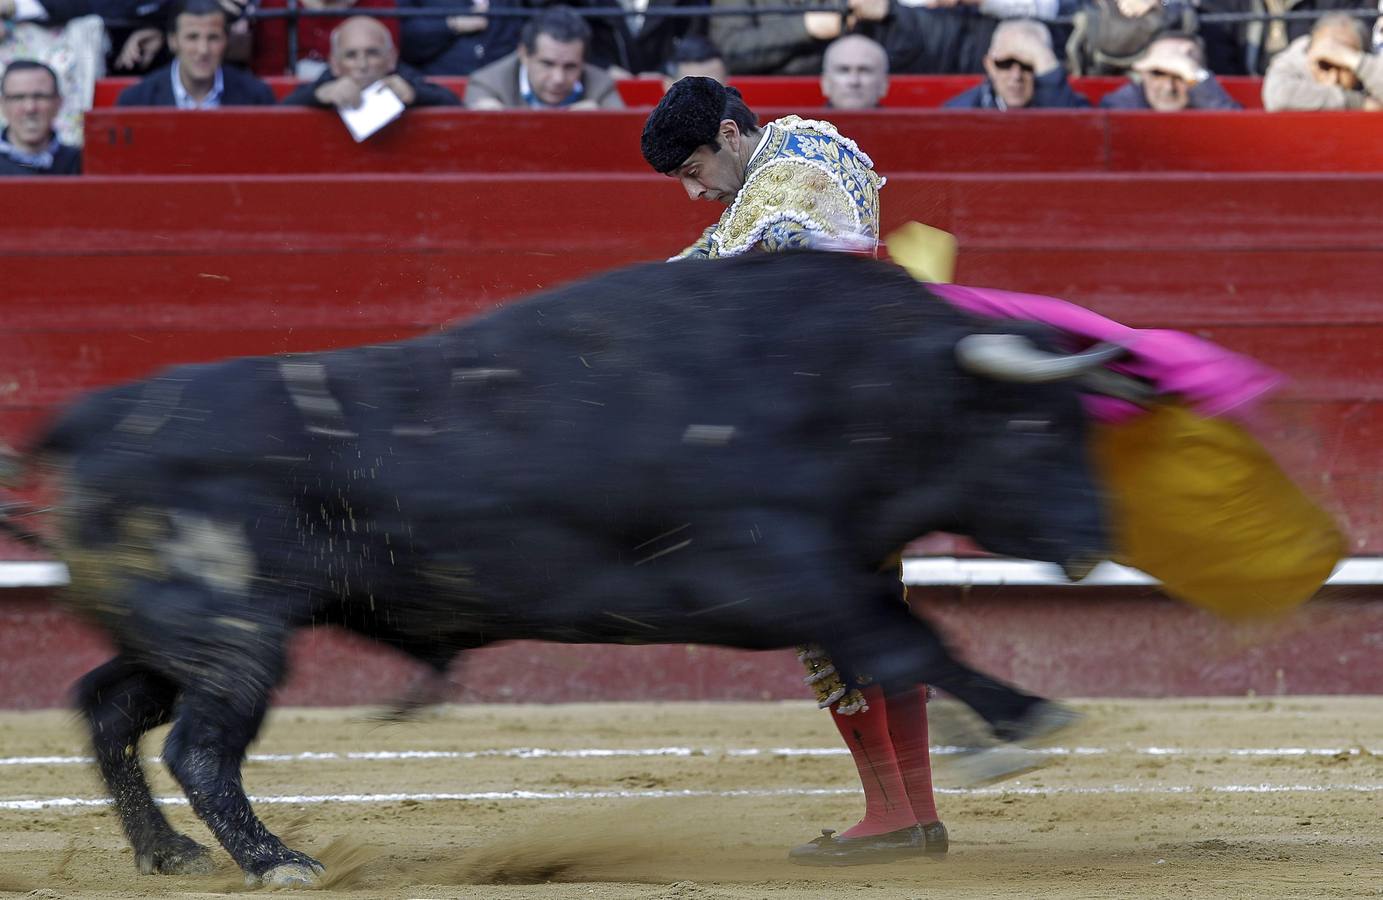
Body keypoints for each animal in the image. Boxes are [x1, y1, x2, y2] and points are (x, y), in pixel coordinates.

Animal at [26, 251, 1106, 879]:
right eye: (1038, 426)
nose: (1095, 542)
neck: (848, 379)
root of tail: (101, 417)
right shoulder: (778, 568)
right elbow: (907, 641)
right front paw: (1023, 723)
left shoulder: (823, 573)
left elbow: (894, 652)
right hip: (235, 635)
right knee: (198, 748)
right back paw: (274, 860)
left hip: (187, 635)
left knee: (109, 706)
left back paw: (168, 854)